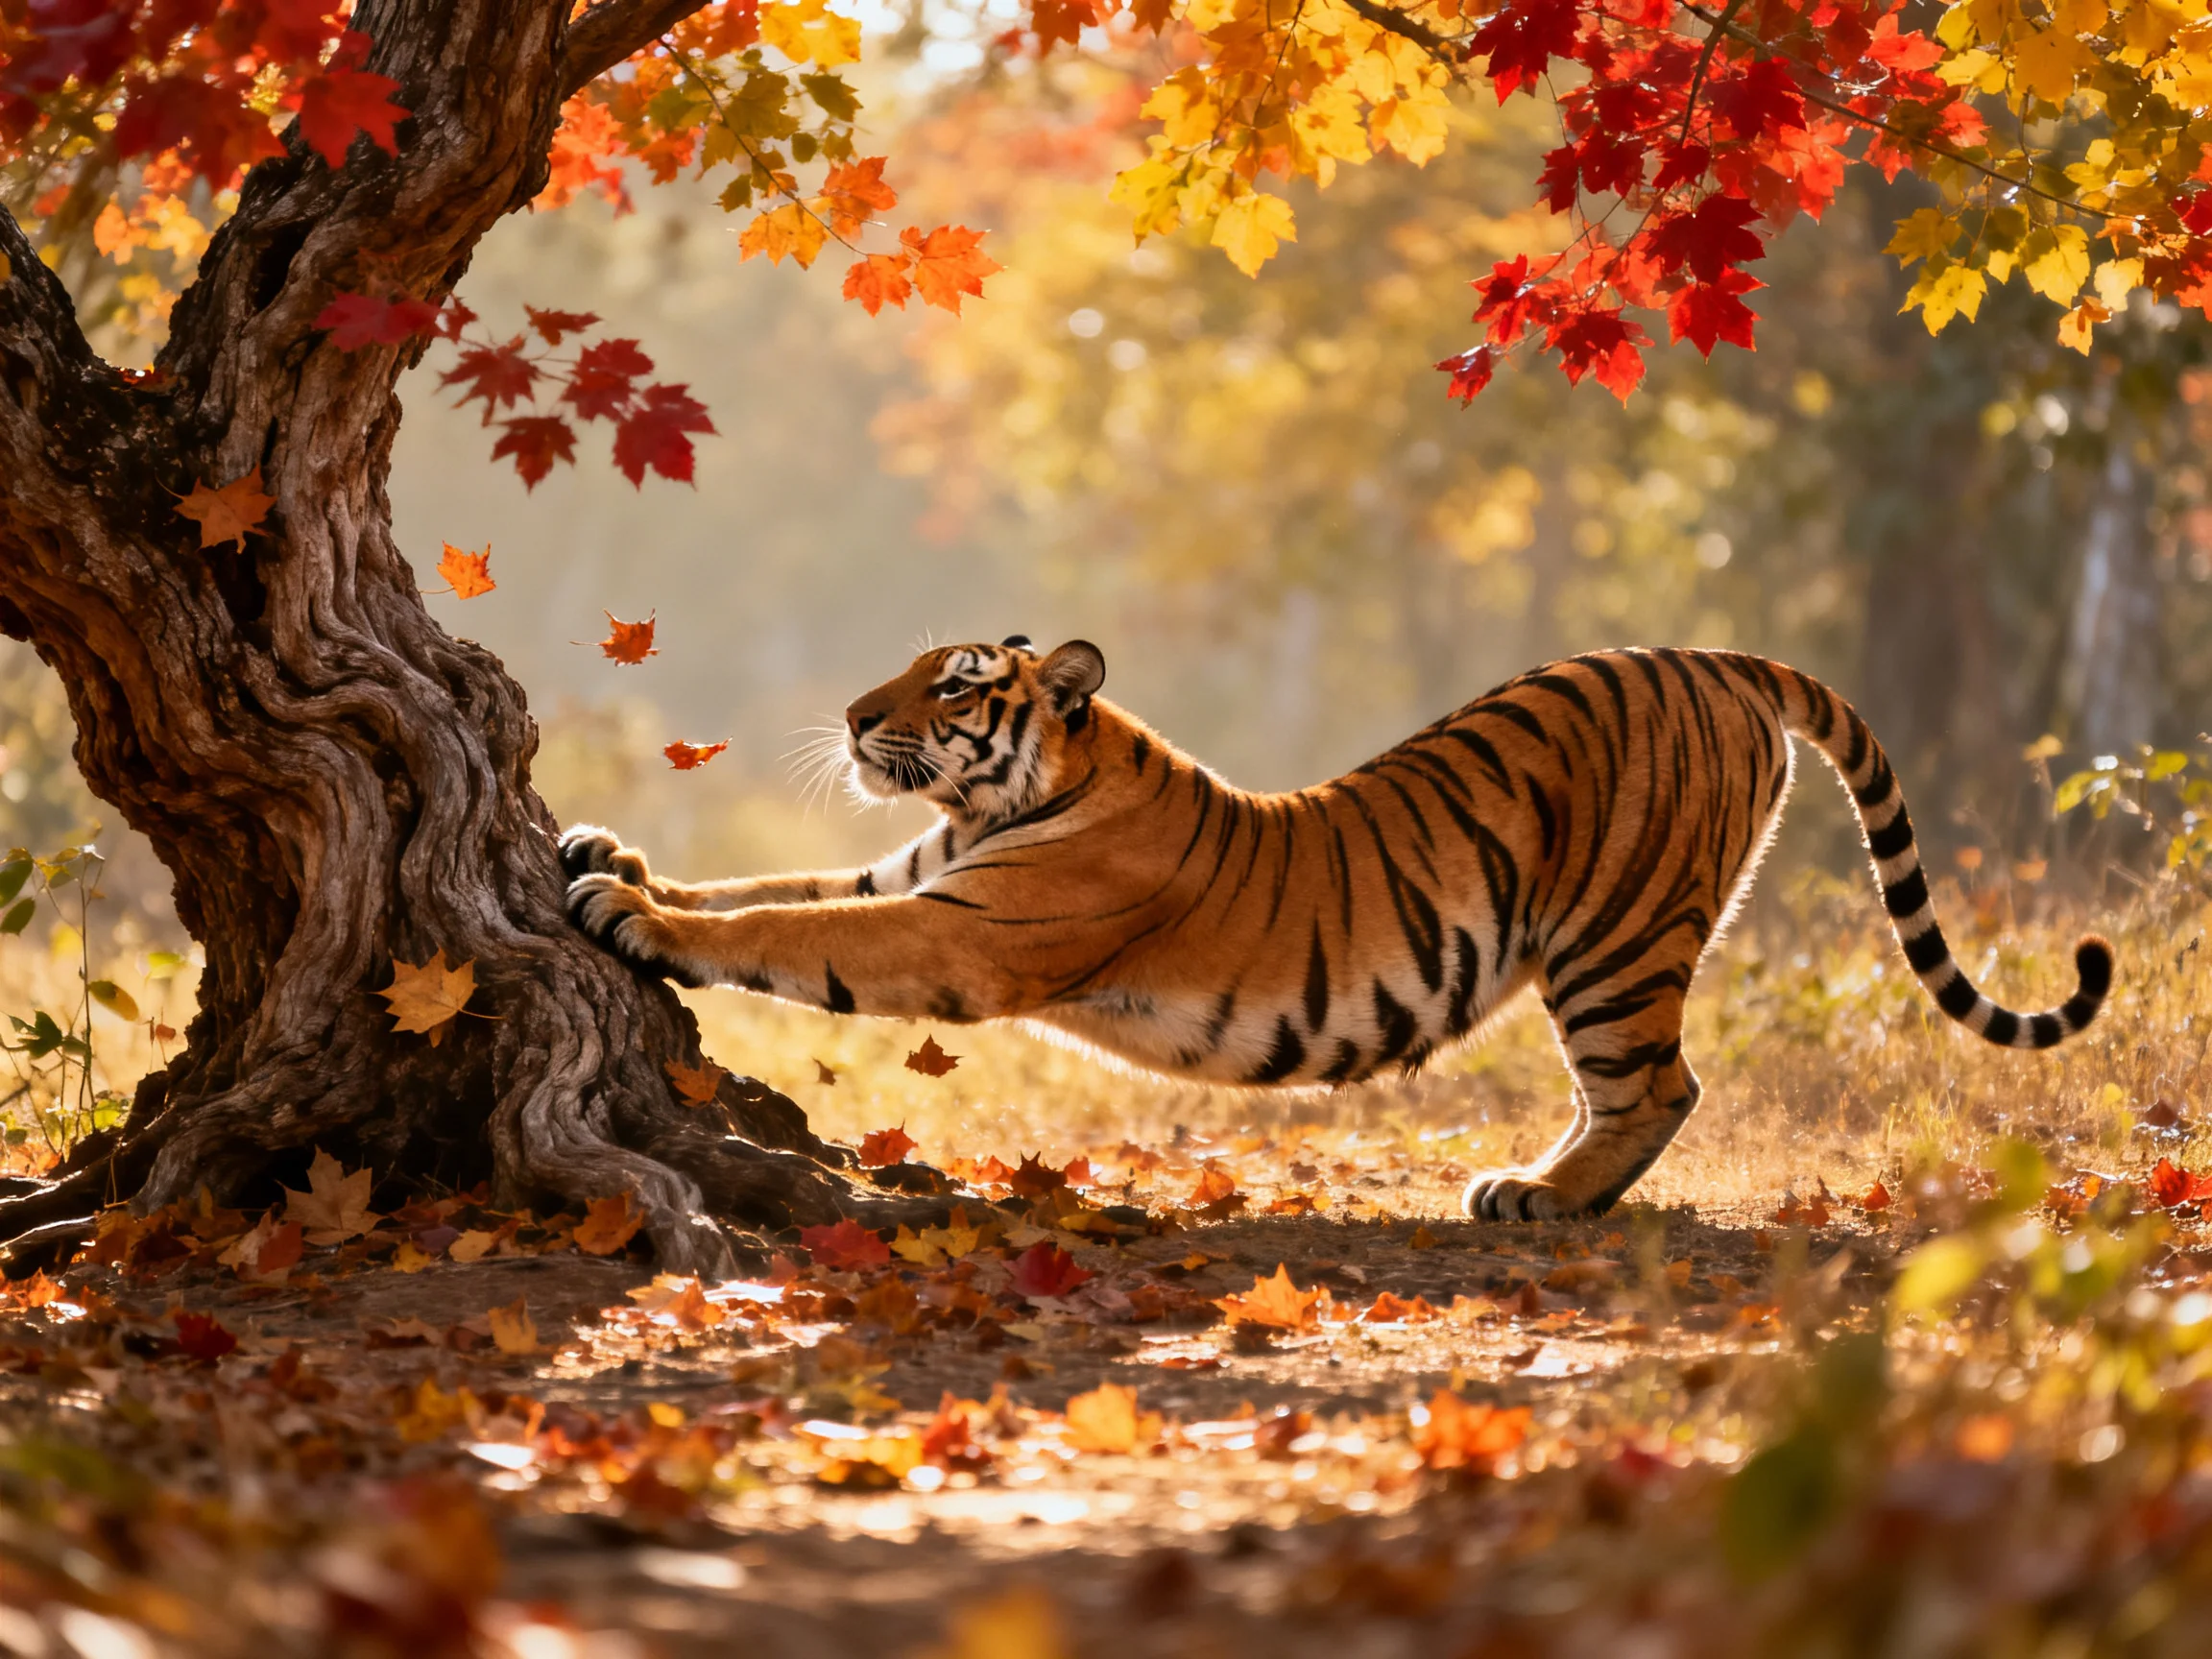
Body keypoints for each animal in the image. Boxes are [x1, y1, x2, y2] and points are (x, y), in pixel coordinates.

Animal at [562, 636, 2112, 1220]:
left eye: (954, 685)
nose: (851, 716)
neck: (1024, 792)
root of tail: (1721, 656)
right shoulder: (918, 871)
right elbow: (770, 896)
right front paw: (611, 854)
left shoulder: (962, 932)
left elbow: (795, 935)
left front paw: (623, 907)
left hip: (1613, 936)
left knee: (1659, 1084)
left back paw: (1543, 1196)